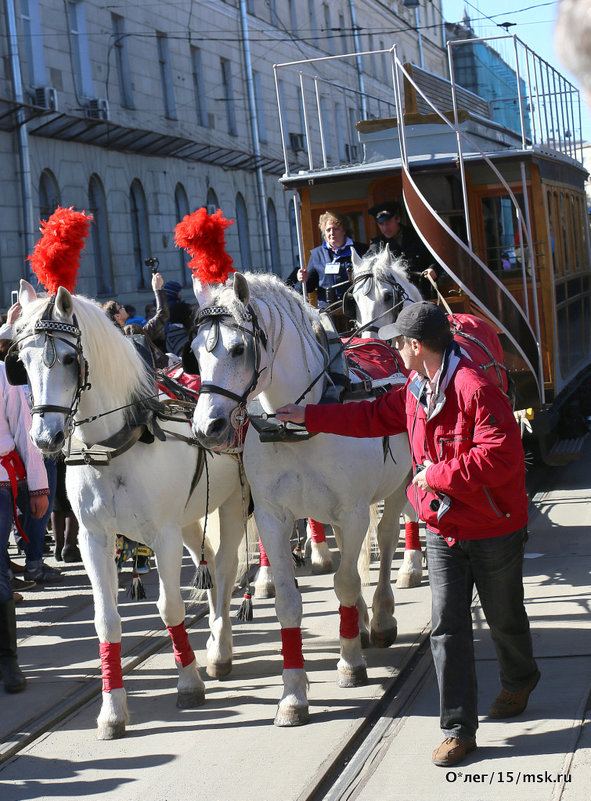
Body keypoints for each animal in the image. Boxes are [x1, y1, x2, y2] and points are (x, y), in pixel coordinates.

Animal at [10, 206, 249, 736]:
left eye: (70, 358)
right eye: (23, 361)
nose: (45, 440)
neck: (115, 447)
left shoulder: (160, 533)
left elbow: (169, 605)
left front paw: (187, 683)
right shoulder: (94, 538)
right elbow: (107, 620)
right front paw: (112, 708)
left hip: (233, 506)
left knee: (226, 568)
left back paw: (222, 643)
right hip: (190, 519)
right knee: (209, 563)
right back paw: (214, 643)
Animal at [175, 206, 416, 724]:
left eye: (239, 349)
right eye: (197, 353)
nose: (208, 426)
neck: (300, 421)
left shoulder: (352, 507)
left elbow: (345, 581)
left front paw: (349, 663)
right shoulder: (272, 515)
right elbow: (290, 601)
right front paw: (292, 694)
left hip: (394, 487)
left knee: (386, 542)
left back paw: (381, 615)